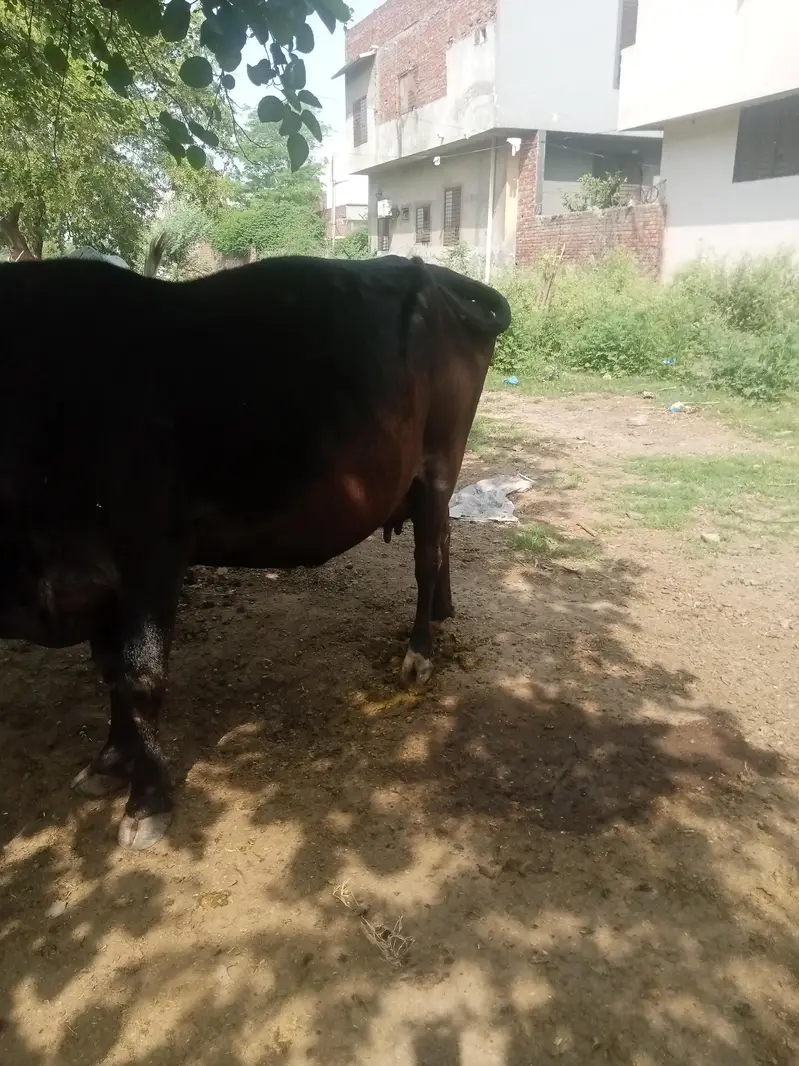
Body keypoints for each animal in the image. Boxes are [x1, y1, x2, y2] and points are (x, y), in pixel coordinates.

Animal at [0, 253, 510, 849]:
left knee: (426, 558)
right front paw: (111, 762)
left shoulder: (152, 558)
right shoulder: (97, 580)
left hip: (437, 463)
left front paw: (147, 801)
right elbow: (111, 674)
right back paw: (444, 612)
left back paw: (420, 652)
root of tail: (431, 271)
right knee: (444, 538)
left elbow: (142, 679)